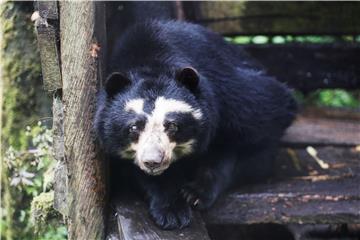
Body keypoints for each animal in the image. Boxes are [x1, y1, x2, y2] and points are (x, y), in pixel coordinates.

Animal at [94, 18, 296, 229]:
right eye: (134, 127)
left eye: (172, 125)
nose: (153, 161)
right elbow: (136, 171)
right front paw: (172, 211)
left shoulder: (230, 93)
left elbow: (272, 113)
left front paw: (196, 193)